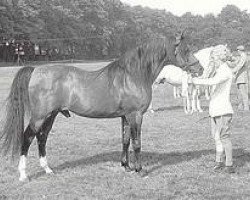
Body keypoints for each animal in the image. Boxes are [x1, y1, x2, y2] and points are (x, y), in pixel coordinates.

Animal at [0, 33, 202, 181]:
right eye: (186, 50)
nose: (199, 69)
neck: (133, 75)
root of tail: (36, 69)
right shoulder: (136, 115)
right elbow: (136, 143)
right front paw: (140, 170)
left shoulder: (125, 116)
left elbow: (125, 140)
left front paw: (126, 166)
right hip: (40, 116)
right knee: (27, 137)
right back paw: (23, 175)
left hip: (51, 115)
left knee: (42, 138)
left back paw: (48, 169)